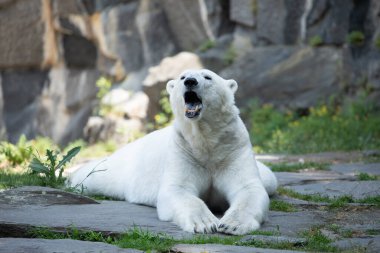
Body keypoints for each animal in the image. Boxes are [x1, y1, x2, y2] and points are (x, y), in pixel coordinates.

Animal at [69, 69, 276, 235]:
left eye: (207, 77)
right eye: (182, 76)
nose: (190, 81)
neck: (205, 140)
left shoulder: (232, 149)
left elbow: (248, 188)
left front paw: (231, 225)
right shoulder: (183, 149)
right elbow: (178, 189)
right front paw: (205, 223)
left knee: (270, 179)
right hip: (119, 168)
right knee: (93, 175)